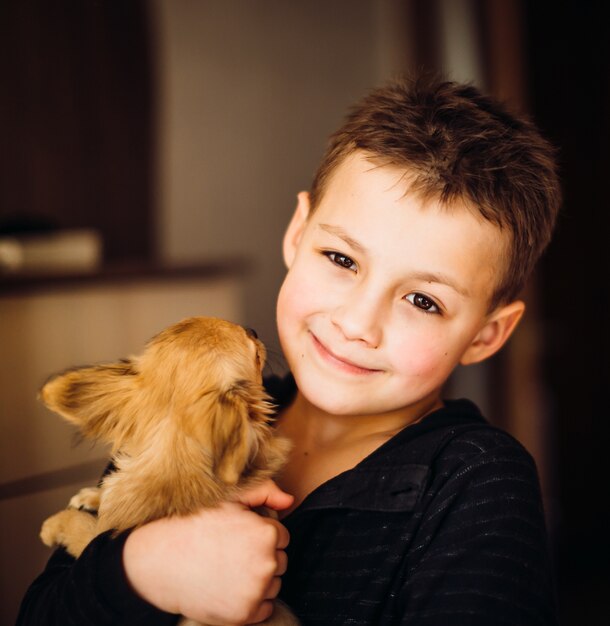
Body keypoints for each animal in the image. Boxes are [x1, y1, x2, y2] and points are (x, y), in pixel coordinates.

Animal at [39, 316, 296, 624]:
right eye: (256, 355)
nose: (253, 330)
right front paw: (91, 495)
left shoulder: (98, 534)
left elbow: (82, 527)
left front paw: (55, 525)